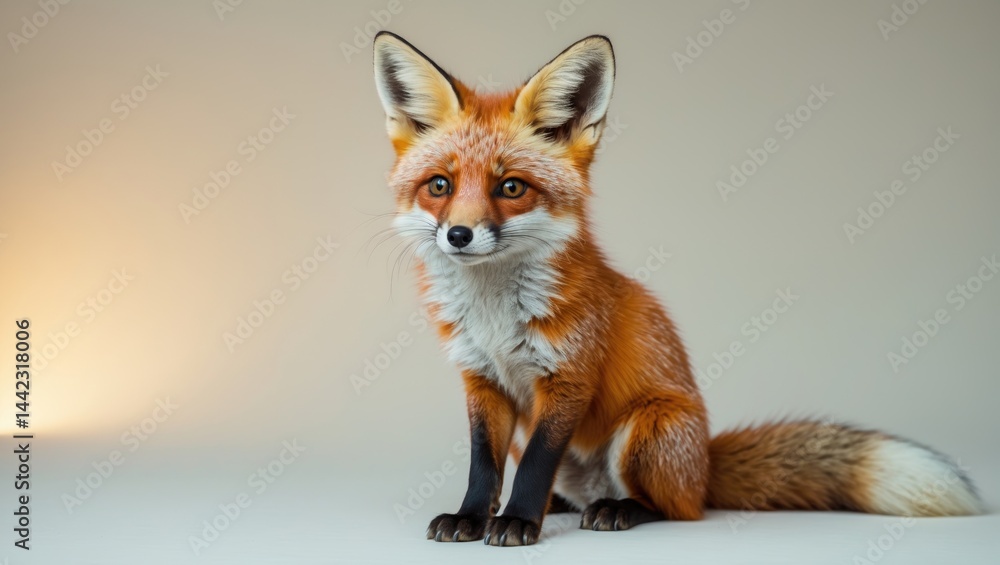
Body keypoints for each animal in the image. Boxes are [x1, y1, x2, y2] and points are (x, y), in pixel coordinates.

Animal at [370, 32, 982, 546]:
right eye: (440, 186)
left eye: (512, 188)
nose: (459, 235)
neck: (494, 315)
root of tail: (705, 465)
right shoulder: (482, 379)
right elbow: (485, 466)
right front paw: (473, 517)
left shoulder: (567, 378)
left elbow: (535, 467)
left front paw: (518, 520)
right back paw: (566, 505)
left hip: (647, 430)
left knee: (676, 508)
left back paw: (617, 509)